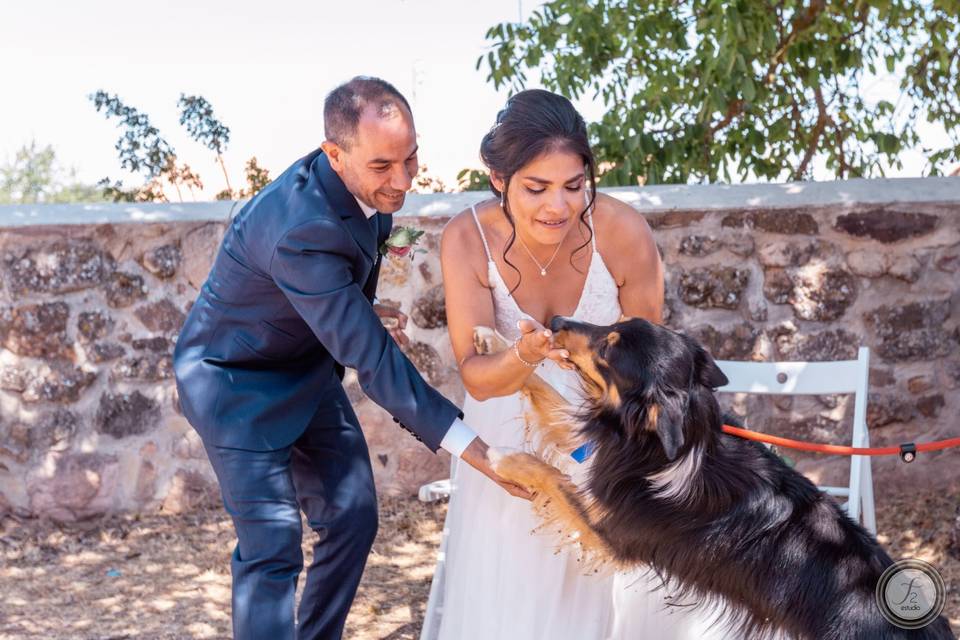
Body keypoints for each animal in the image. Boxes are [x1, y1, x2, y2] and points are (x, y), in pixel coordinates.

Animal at [476, 318, 956, 636]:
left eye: (609, 349)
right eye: (613, 324)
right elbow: (547, 397)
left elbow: (550, 475)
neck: (676, 446)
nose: (556, 320)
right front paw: (495, 341)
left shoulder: (610, 529)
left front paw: (503, 458)